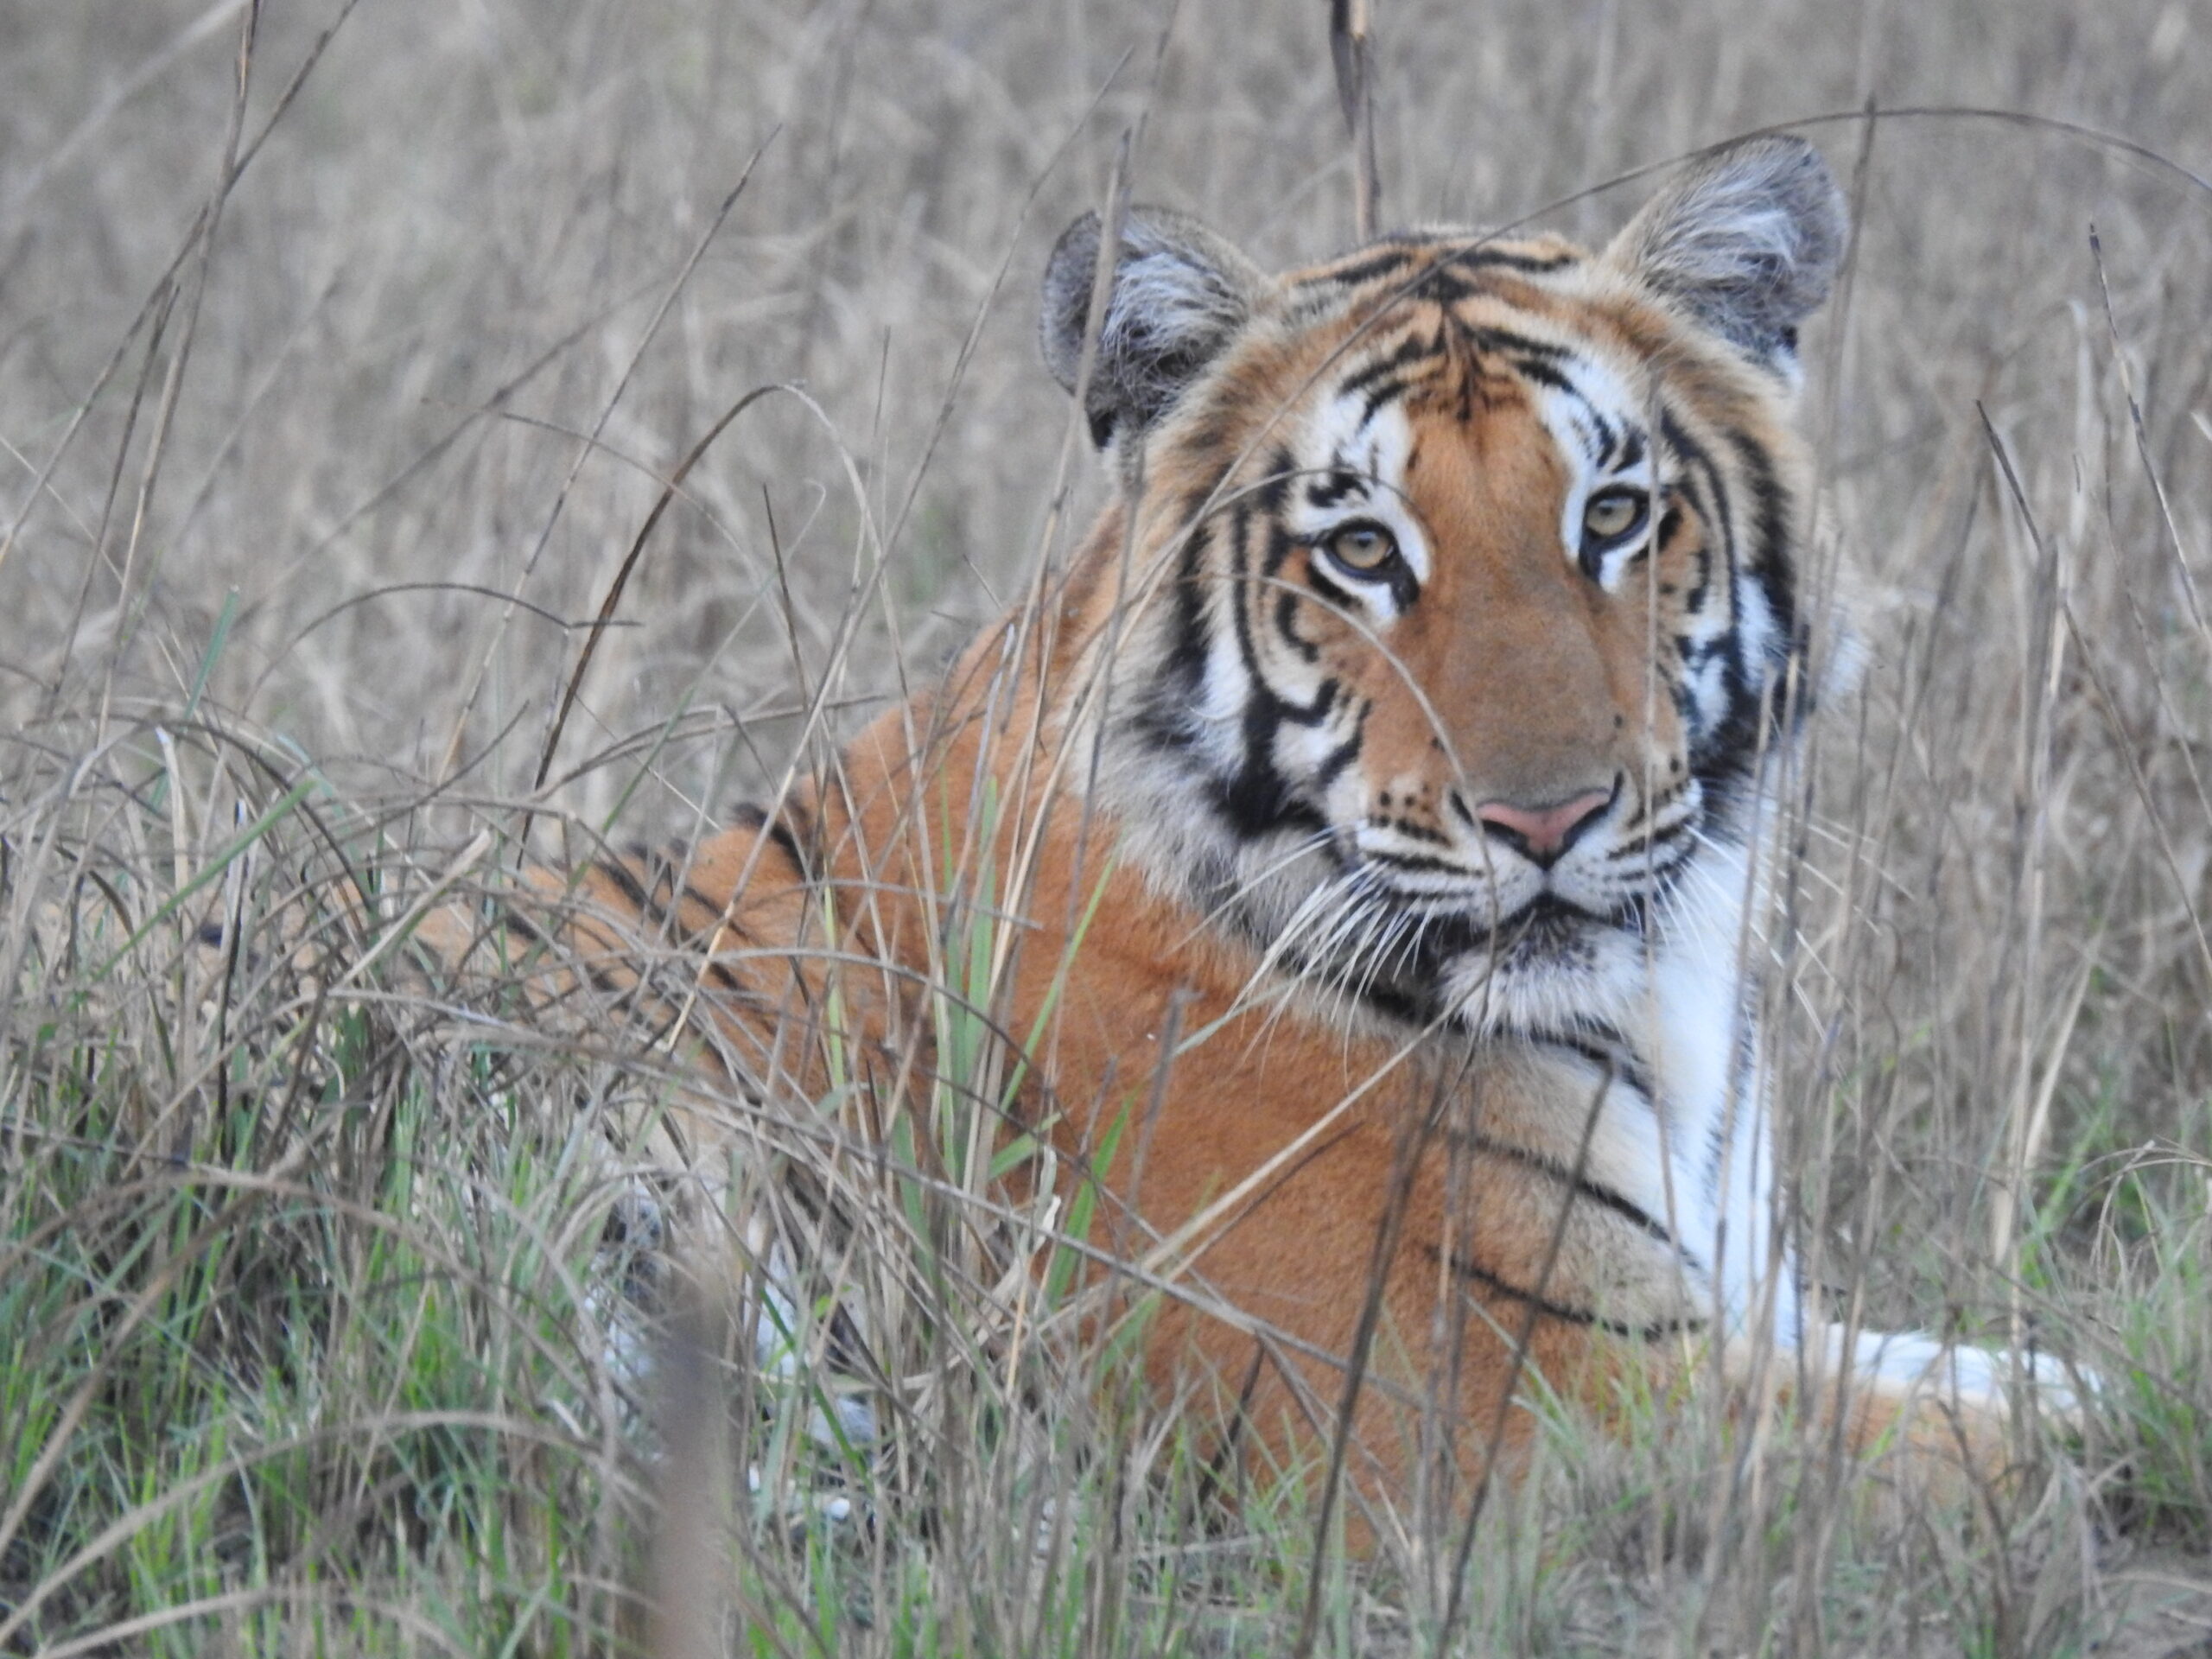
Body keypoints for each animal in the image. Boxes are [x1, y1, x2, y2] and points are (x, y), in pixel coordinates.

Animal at [440, 137, 2079, 1539]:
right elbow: (2045, 1440)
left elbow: (2024, 1366)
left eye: (1614, 516)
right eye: (1360, 551)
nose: (1545, 818)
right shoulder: (1511, 1406)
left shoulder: (1739, 1313)